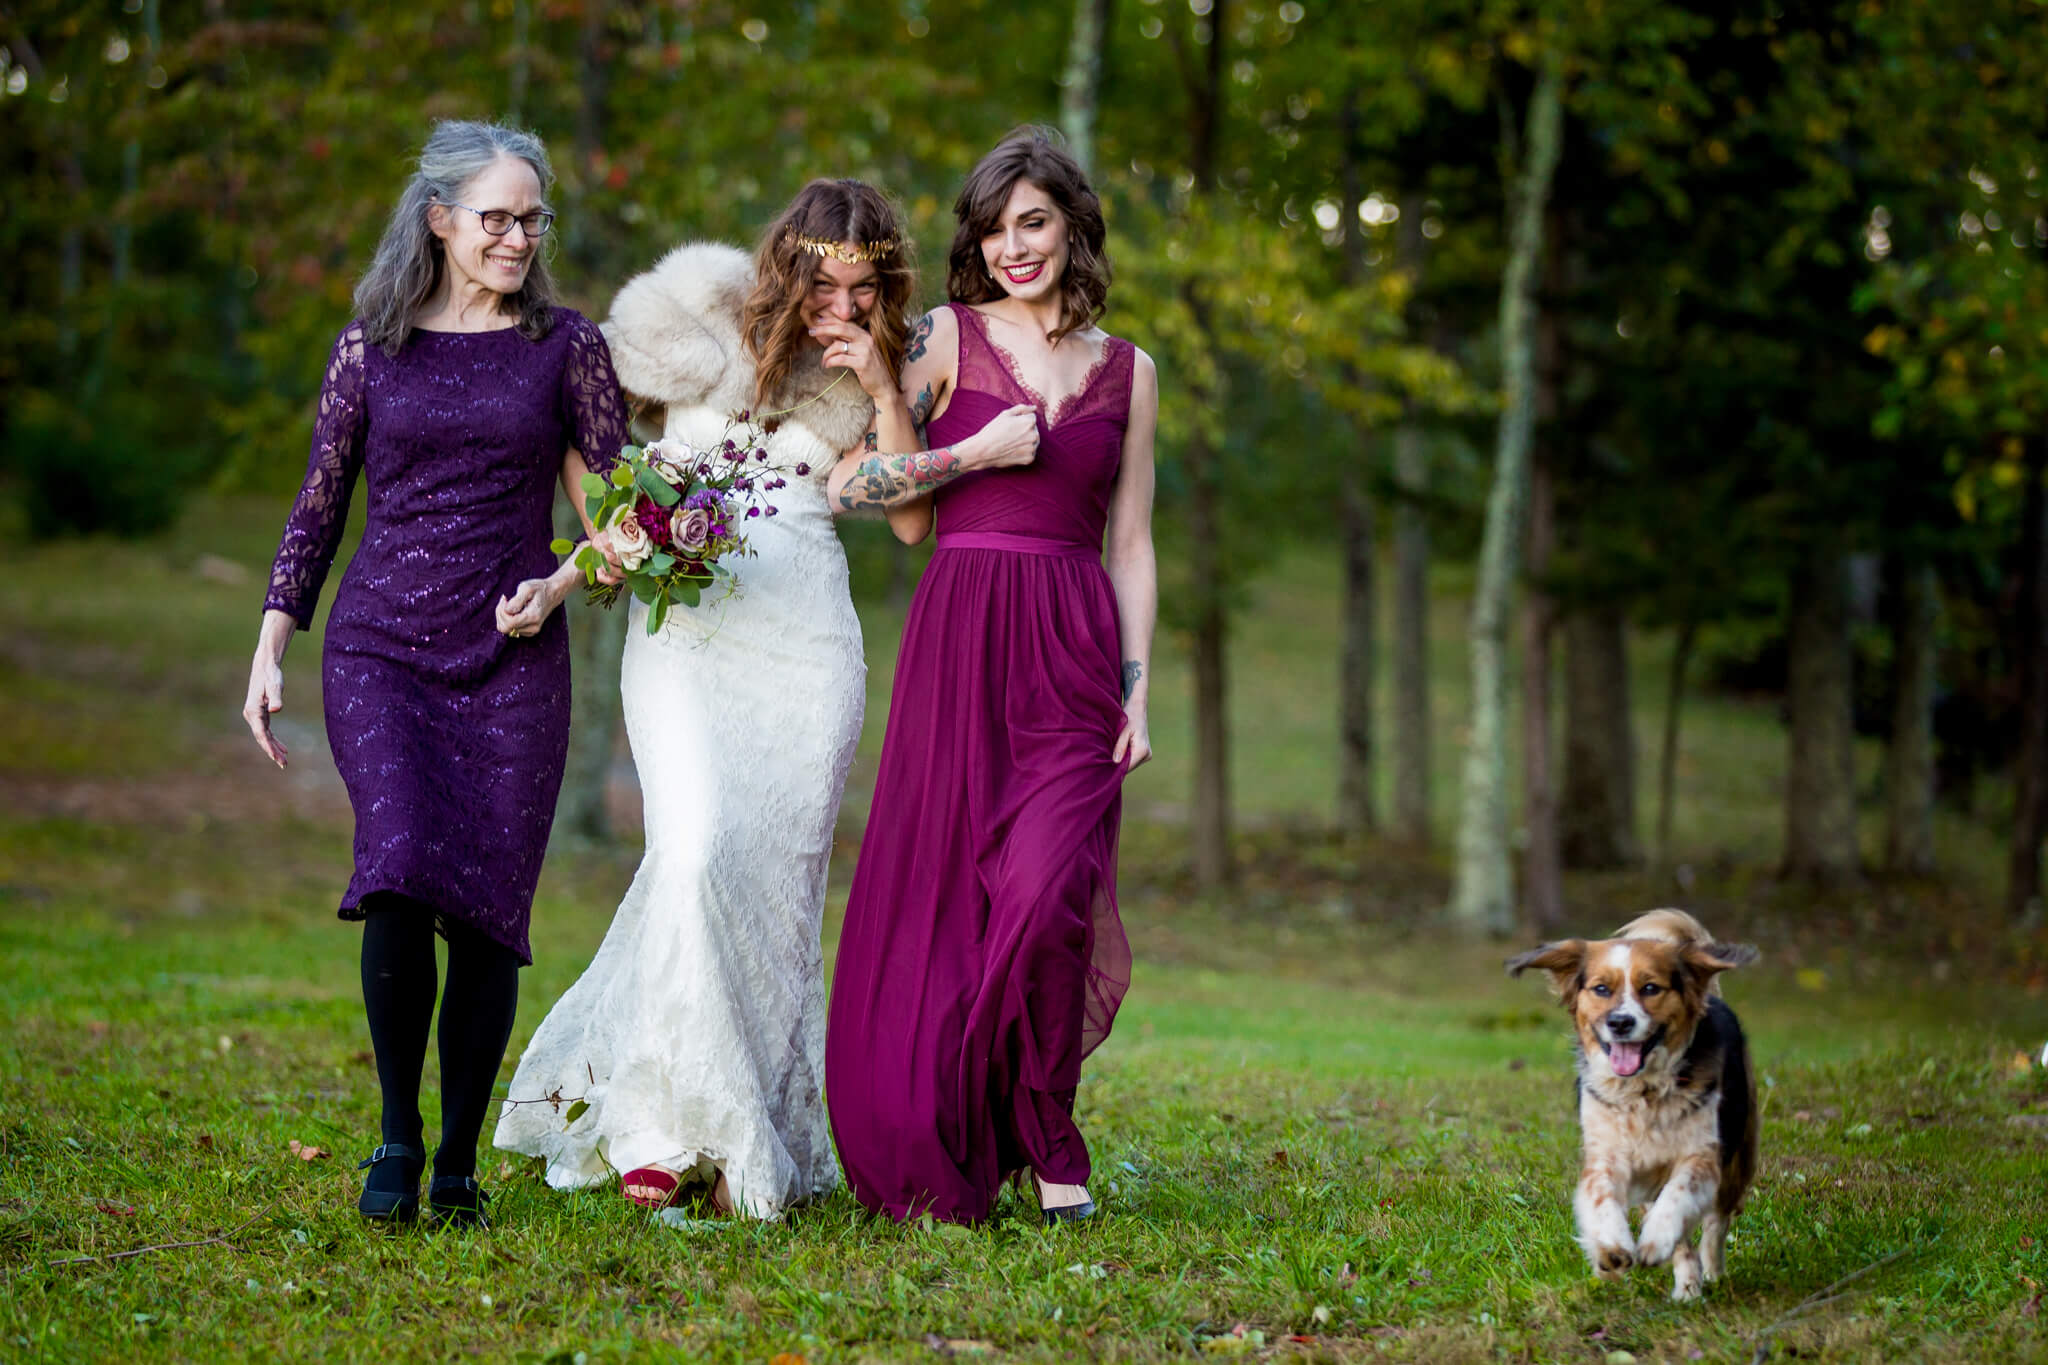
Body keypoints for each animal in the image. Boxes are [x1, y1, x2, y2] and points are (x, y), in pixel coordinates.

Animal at [1507, 908, 1761, 1301]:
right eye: (1601, 989)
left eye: (1651, 988)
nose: (1620, 1022)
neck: (1643, 1092)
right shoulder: (1607, 1155)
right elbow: (1600, 1198)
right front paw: (1610, 1250)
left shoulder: (1702, 1154)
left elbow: (1678, 1195)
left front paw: (1656, 1239)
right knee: (1685, 1241)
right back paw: (1686, 1287)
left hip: (1740, 1156)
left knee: (1716, 1222)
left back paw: (1711, 1272)